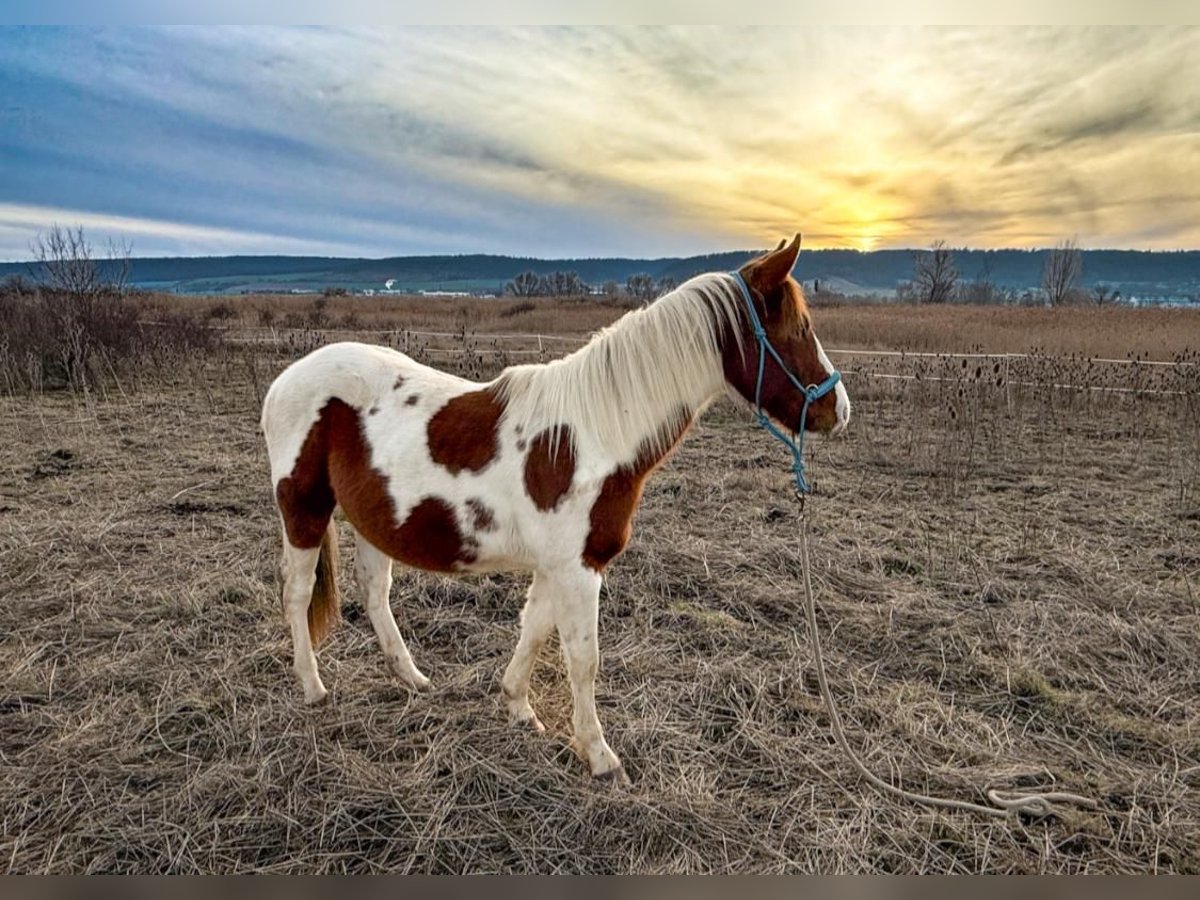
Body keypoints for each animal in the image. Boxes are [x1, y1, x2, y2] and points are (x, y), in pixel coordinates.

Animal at [260, 234, 850, 782]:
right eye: (798, 329)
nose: (837, 409)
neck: (595, 433)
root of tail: (286, 380)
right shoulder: (579, 568)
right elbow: (583, 658)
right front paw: (600, 756)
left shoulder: (557, 566)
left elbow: (535, 630)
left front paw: (519, 707)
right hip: (304, 509)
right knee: (297, 593)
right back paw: (313, 688)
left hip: (372, 518)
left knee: (374, 592)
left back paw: (412, 679)